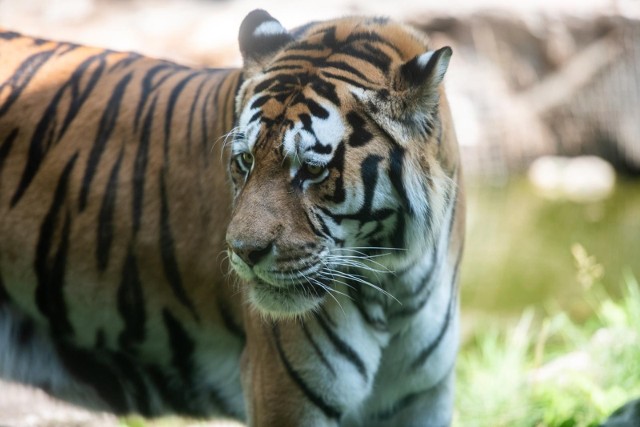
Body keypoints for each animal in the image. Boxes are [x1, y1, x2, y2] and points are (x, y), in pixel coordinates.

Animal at [0, 7, 462, 427]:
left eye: (312, 170)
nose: (244, 252)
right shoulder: (285, 395)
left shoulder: (423, 398)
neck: (396, 282)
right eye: (245, 160)